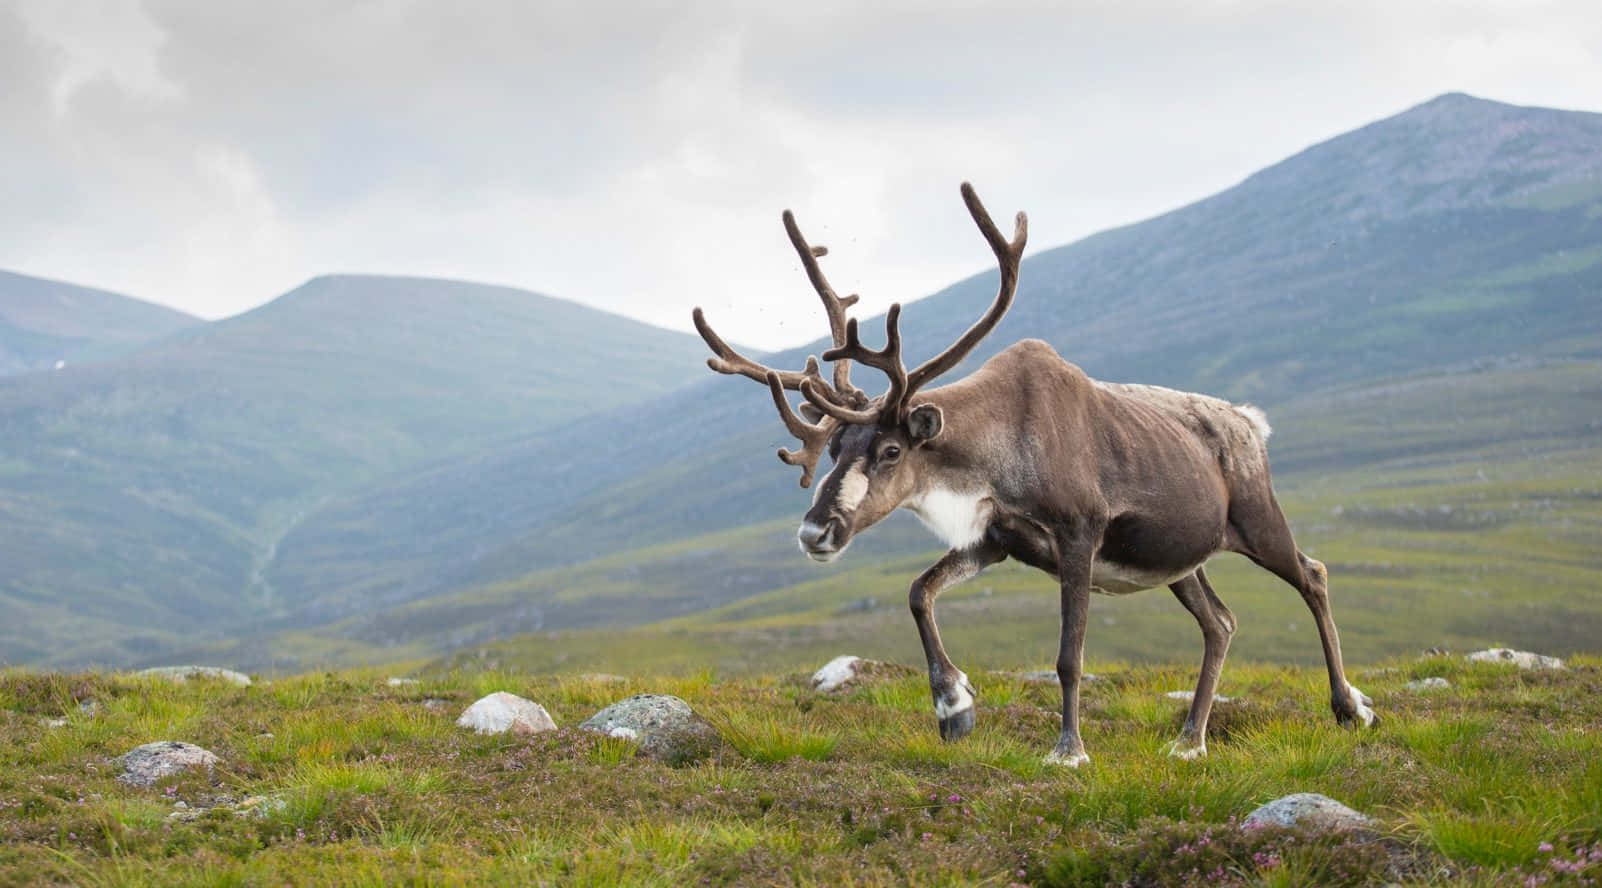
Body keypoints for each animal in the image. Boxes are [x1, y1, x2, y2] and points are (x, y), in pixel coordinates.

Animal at [691, 183, 1376, 765]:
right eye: (834, 448)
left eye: (890, 451)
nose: (814, 533)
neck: (995, 453)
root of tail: (1251, 422)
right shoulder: (996, 540)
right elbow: (919, 592)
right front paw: (954, 708)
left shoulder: (1078, 535)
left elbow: (1069, 656)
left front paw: (1068, 750)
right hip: (1181, 559)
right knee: (1220, 622)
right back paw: (1189, 741)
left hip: (1257, 521)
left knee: (1312, 576)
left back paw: (1349, 707)